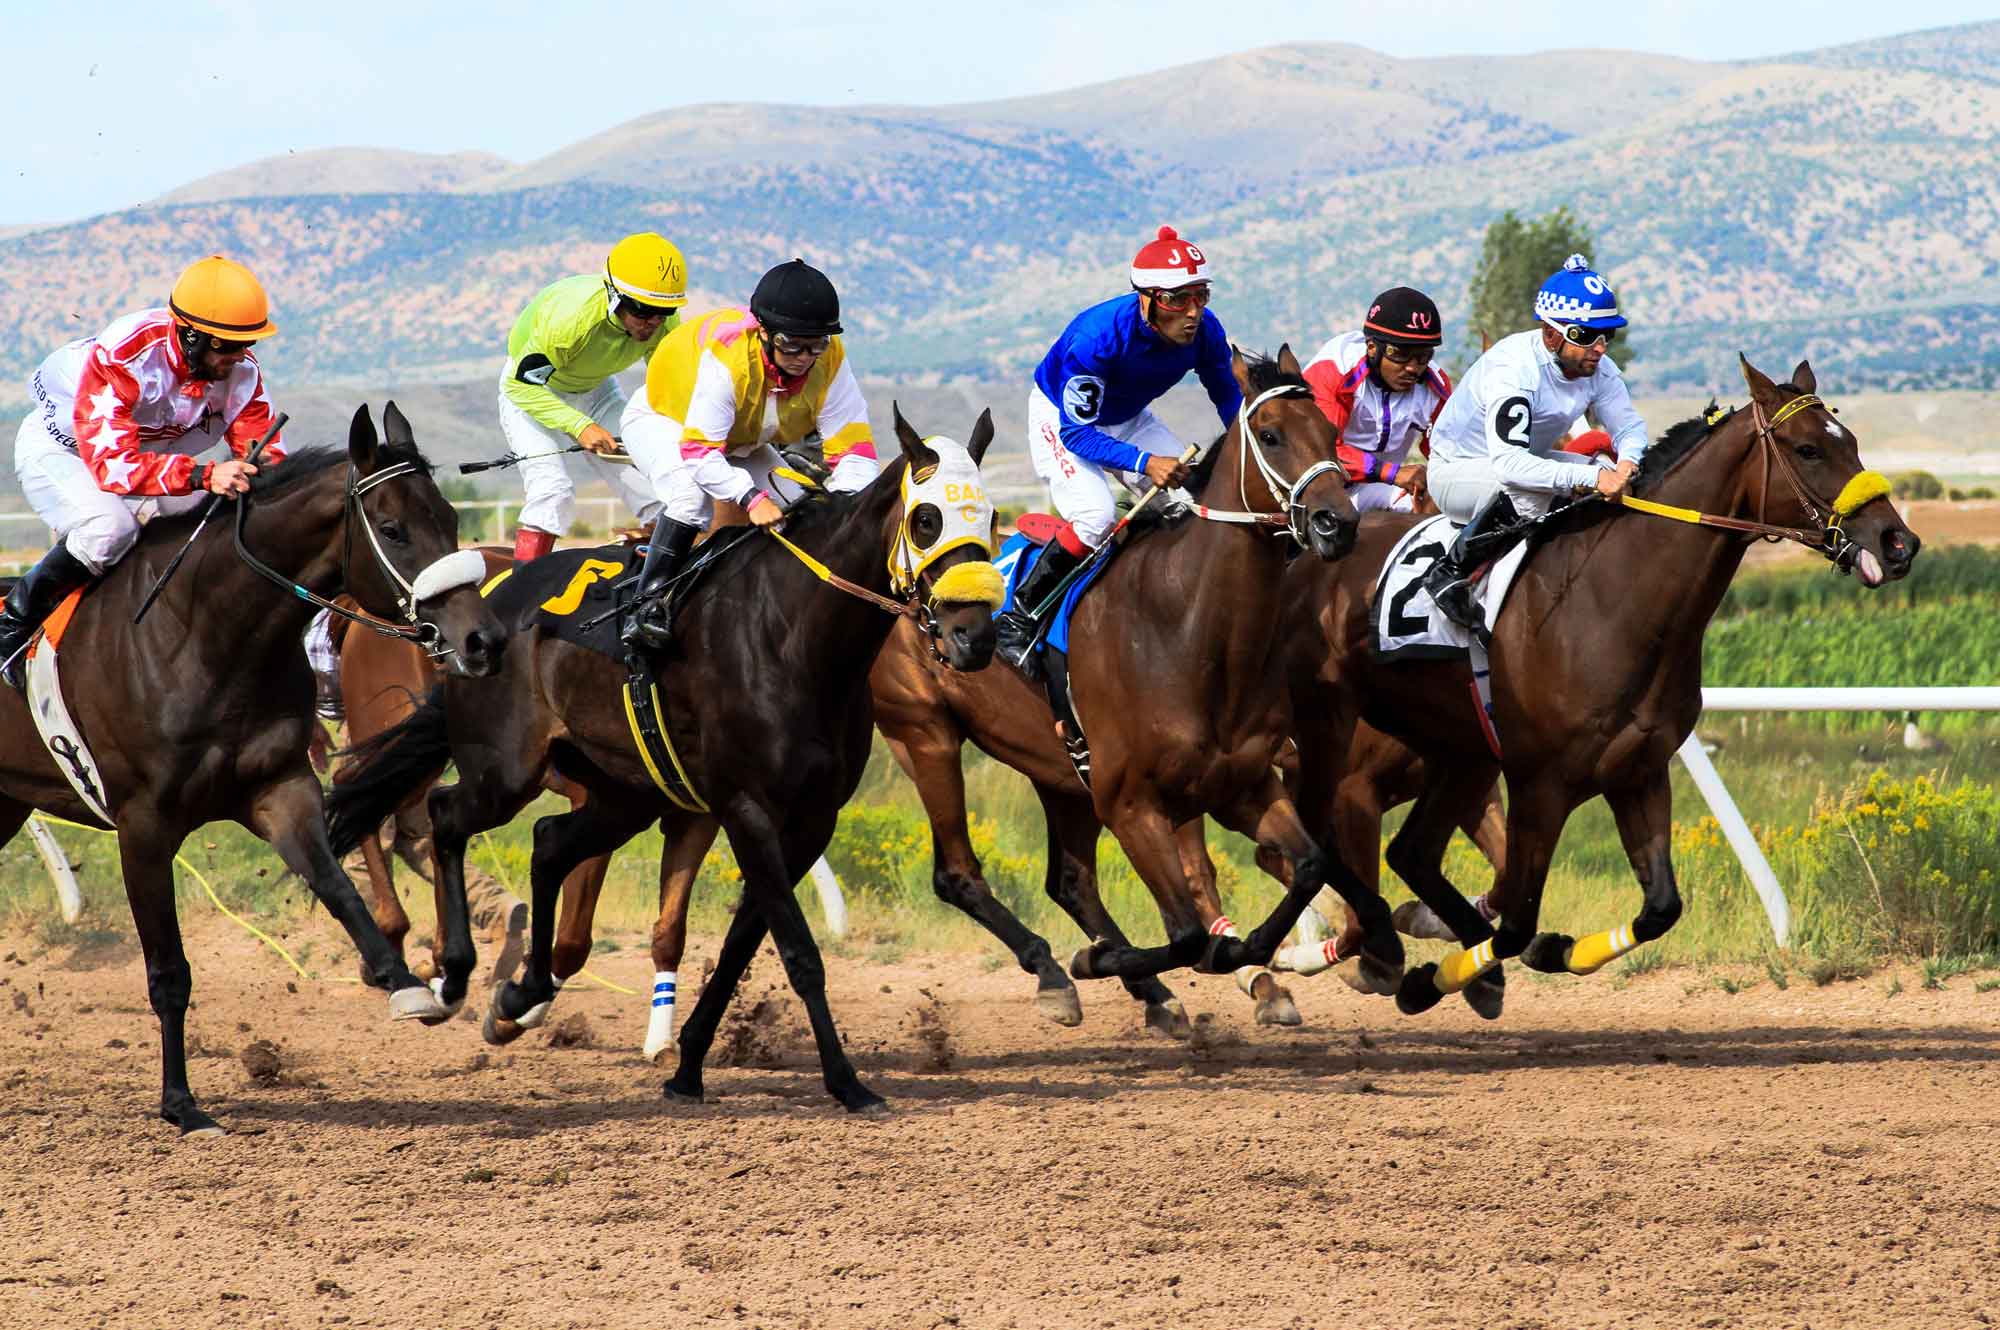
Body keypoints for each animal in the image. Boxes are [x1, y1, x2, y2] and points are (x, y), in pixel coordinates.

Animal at [0, 404, 508, 1128]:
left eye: (451, 518)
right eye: (393, 529)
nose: (483, 640)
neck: (204, 635)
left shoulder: (280, 788)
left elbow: (338, 887)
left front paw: (407, 983)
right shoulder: (143, 826)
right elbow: (169, 971)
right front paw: (181, 1104)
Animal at [334, 408, 1008, 1112]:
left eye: (989, 517)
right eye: (927, 518)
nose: (973, 637)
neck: (796, 633)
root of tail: (474, 617)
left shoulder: (807, 820)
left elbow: (741, 946)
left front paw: (686, 1065)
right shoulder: (746, 809)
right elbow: (799, 952)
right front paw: (846, 1082)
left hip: (621, 792)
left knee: (547, 842)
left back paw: (522, 991)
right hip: (506, 771)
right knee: (444, 815)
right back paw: (454, 973)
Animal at [1280, 352, 1920, 1008]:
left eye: (1854, 442)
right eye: (1808, 449)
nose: (1898, 542)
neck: (1611, 601)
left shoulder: (1639, 770)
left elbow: (1659, 908)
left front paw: (1547, 953)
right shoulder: (1539, 784)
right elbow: (1516, 922)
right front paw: (1431, 977)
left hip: (1461, 757)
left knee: (1412, 853)